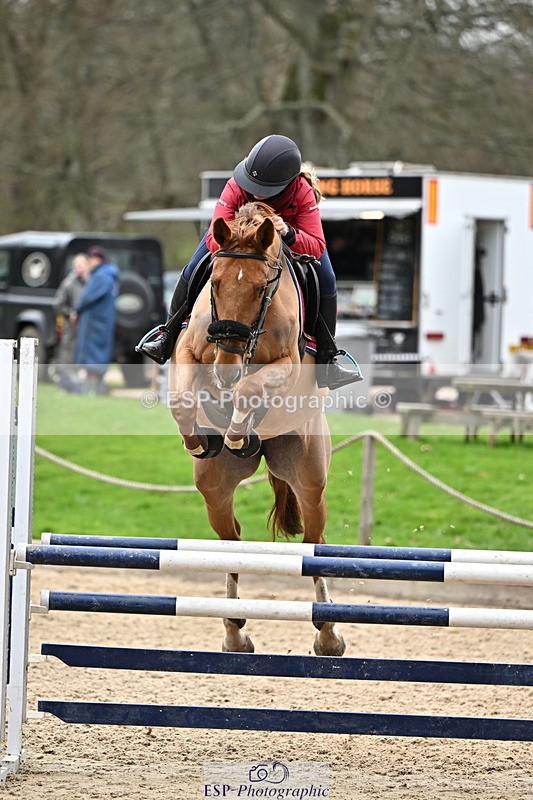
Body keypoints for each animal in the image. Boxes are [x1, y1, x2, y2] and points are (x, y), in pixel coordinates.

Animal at [168, 202, 345, 657]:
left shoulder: (287, 364)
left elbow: (250, 388)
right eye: (214, 282)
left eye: (263, 287)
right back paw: (234, 632)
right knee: (232, 545)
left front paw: (236, 430)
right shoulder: (188, 349)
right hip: (214, 489)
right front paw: (201, 438)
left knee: (314, 546)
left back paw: (328, 635)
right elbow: (184, 398)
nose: (226, 368)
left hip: (310, 479)